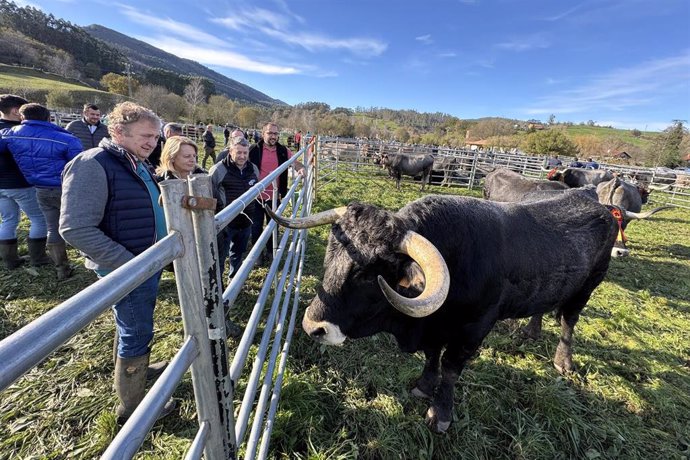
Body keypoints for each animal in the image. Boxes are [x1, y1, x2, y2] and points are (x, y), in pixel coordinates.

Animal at [266, 192, 616, 434]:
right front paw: (423, 385)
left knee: (569, 321)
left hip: (588, 287)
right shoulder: (433, 330)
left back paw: (563, 361)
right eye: (331, 251)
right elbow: (432, 356)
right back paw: (530, 331)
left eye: (367, 274)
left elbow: (450, 368)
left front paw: (441, 414)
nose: (312, 326)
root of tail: (600, 206)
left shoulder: (474, 329)